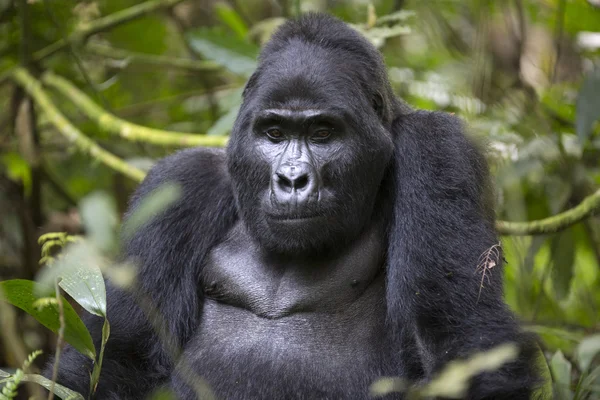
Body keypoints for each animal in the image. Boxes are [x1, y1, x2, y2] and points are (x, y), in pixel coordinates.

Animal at [52, 12, 540, 400]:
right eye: (274, 133)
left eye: (323, 133)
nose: (291, 180)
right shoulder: (178, 187)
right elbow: (115, 357)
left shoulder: (438, 151)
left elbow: (460, 345)